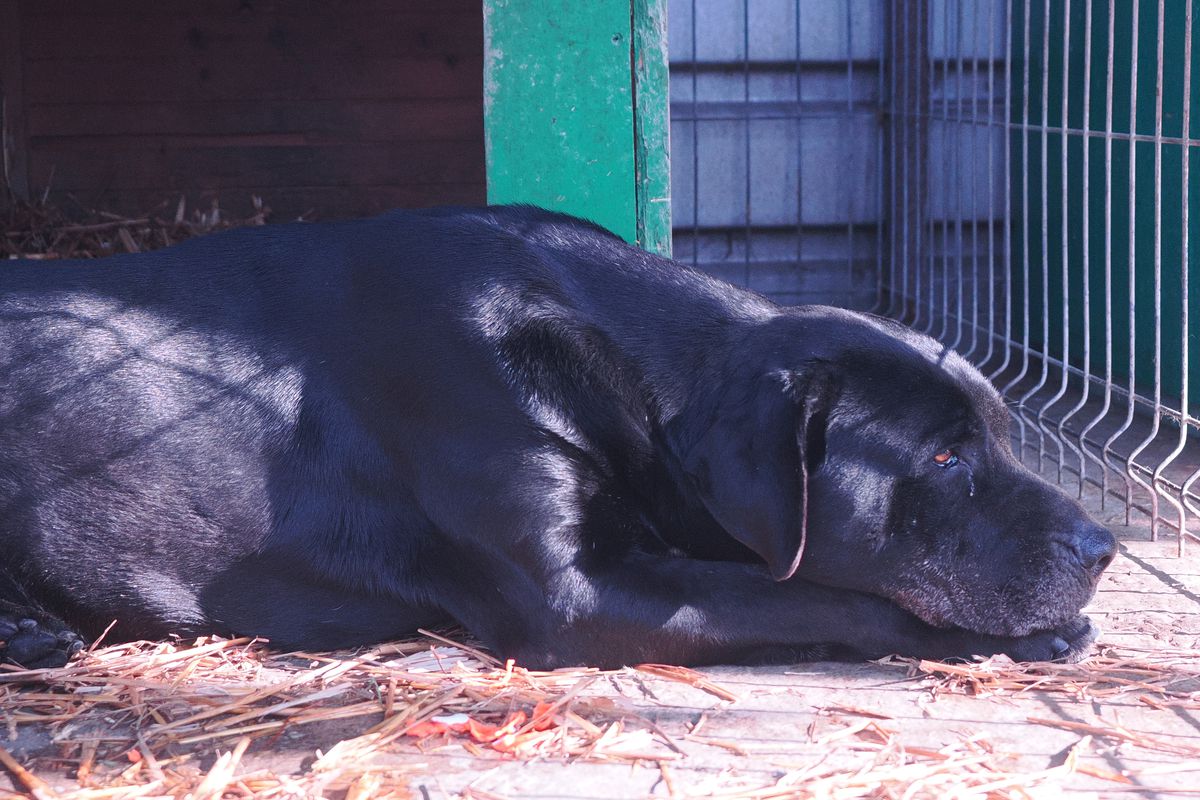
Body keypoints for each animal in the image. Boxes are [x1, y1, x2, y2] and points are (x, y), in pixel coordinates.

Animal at [0, 205, 1113, 671]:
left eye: (1002, 436)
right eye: (944, 459)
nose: (1104, 546)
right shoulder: (575, 593)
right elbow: (824, 595)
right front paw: (998, 639)